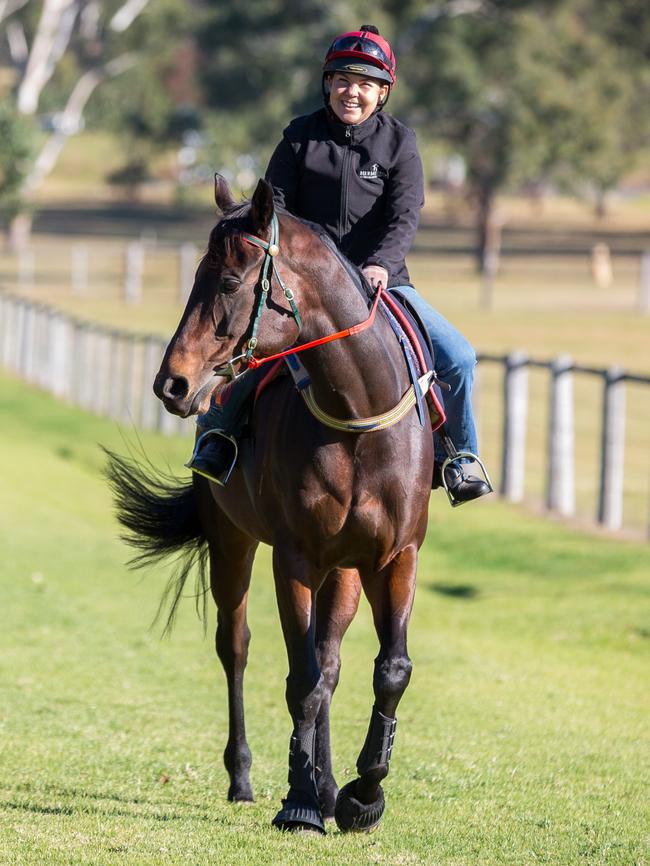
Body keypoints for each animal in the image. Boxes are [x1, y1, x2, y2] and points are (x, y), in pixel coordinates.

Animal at [107, 174, 430, 832]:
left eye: (229, 282)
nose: (171, 384)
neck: (356, 418)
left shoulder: (395, 557)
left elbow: (387, 671)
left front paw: (361, 795)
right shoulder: (294, 558)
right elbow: (299, 679)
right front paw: (302, 800)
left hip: (345, 570)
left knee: (330, 664)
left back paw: (329, 785)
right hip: (232, 542)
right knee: (237, 647)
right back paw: (247, 777)